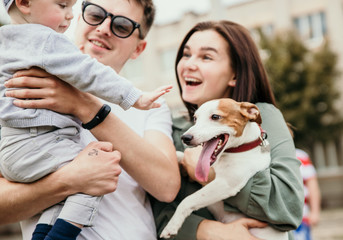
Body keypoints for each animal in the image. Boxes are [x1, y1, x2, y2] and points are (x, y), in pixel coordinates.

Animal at [161, 98, 288, 239]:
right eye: (195, 118)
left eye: (215, 117)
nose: (185, 138)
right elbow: (180, 155)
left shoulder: (225, 185)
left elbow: (187, 200)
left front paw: (171, 226)